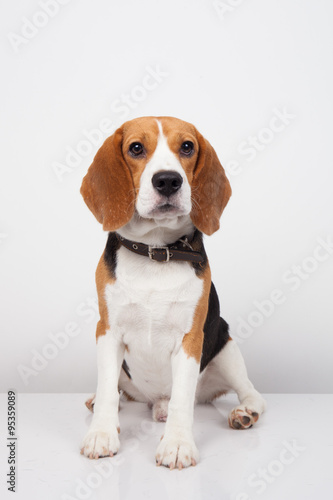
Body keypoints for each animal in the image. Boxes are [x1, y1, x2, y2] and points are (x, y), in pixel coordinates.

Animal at [78, 116, 264, 468]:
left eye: (187, 146)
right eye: (136, 148)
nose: (168, 181)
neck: (156, 251)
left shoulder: (190, 339)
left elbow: (182, 399)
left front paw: (177, 444)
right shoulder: (107, 331)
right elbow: (108, 389)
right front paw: (101, 435)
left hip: (226, 346)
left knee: (250, 393)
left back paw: (243, 412)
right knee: (120, 392)